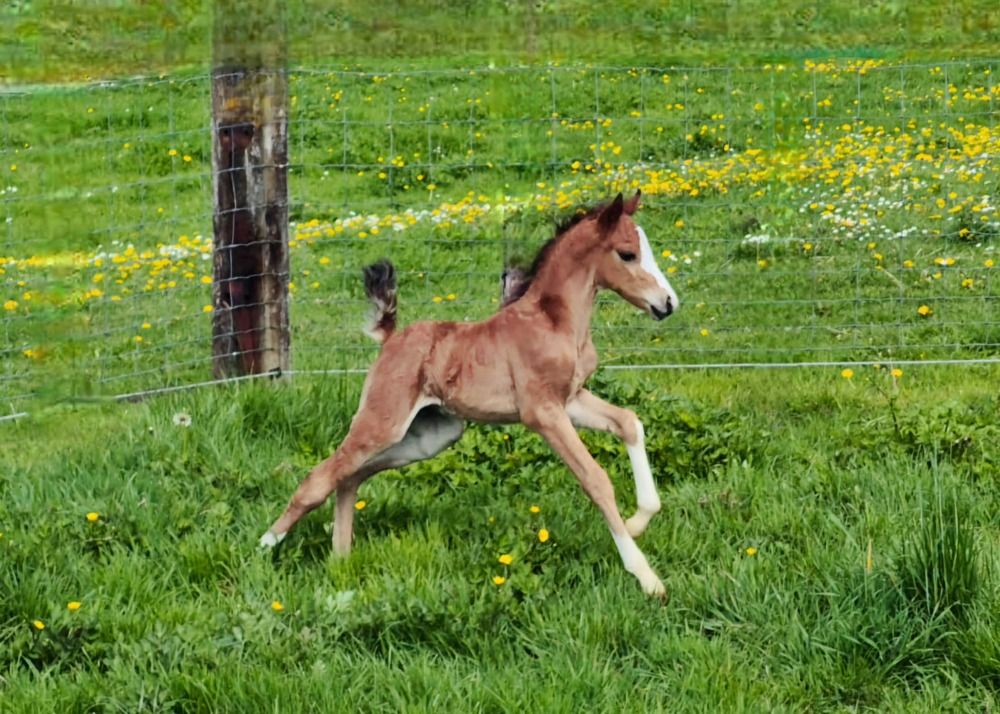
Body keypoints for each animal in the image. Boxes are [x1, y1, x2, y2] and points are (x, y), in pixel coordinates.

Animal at [259, 190, 679, 597]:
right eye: (627, 254)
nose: (668, 303)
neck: (554, 322)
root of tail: (390, 339)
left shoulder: (571, 400)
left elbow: (629, 422)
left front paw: (638, 520)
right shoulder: (542, 412)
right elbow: (596, 479)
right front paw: (647, 578)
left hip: (429, 437)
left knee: (349, 477)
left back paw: (341, 557)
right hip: (382, 422)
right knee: (320, 477)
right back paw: (264, 547)